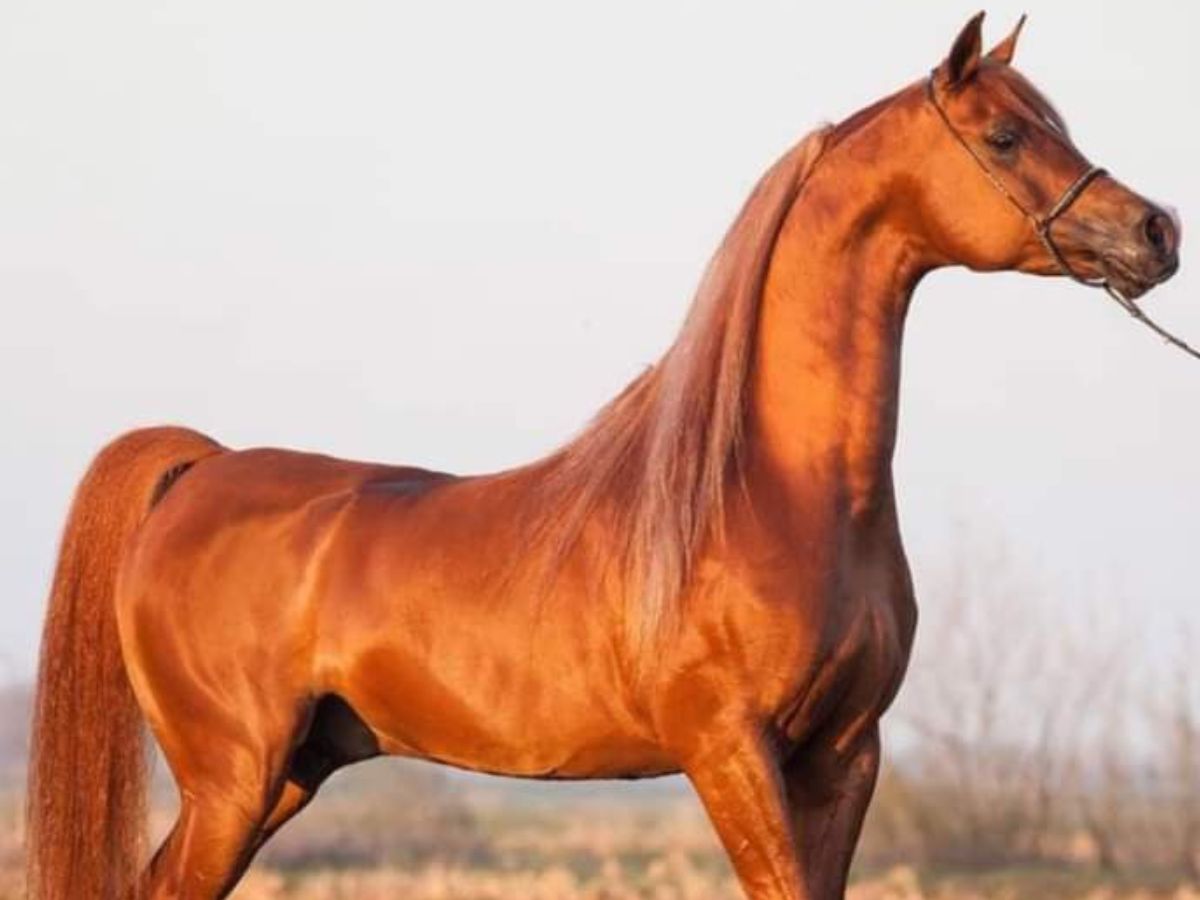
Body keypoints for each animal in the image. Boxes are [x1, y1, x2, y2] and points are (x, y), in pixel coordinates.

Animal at [25, 12, 1180, 900]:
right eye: (1003, 136)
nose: (1156, 232)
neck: (774, 492)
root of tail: (200, 471)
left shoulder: (847, 754)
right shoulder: (730, 751)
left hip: (283, 778)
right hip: (234, 780)